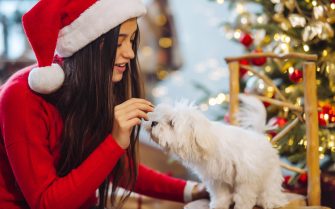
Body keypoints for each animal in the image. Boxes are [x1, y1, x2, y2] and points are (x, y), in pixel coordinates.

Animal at [144, 94, 288, 209]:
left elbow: (244, 196)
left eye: (171, 123)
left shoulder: (246, 177)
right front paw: (219, 205)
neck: (209, 143)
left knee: (270, 189)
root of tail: (260, 136)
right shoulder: (216, 178)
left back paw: (270, 201)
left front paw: (241, 206)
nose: (153, 122)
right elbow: (221, 194)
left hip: (271, 174)